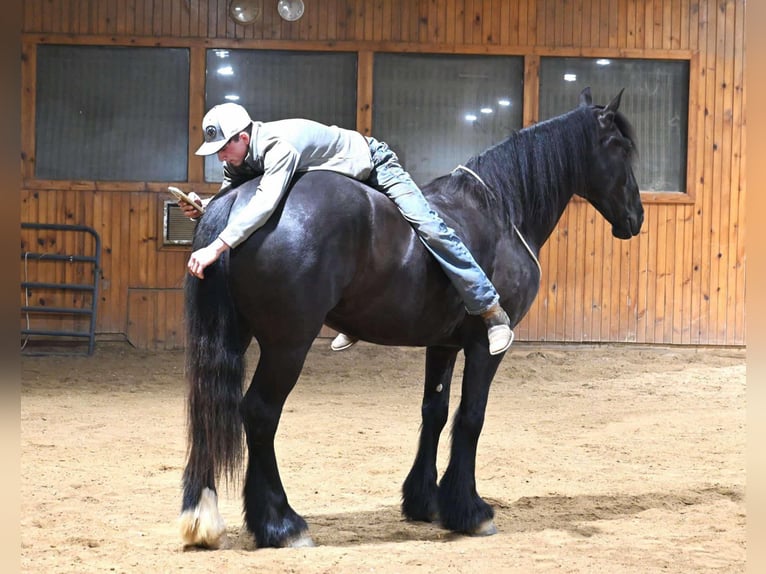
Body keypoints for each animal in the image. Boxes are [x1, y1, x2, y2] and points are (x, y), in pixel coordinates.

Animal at [179, 87, 643, 549]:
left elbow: (434, 412)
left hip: (233, 337)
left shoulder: (442, 344)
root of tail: (236, 203)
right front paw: (470, 510)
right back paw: (282, 523)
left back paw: (207, 518)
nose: (635, 217)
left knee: (210, 411)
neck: (501, 212)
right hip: (288, 344)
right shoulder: (483, 347)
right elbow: (471, 417)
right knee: (259, 412)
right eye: (620, 147)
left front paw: (425, 501)